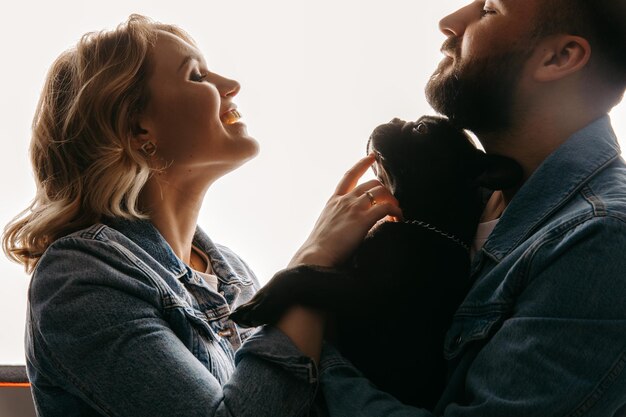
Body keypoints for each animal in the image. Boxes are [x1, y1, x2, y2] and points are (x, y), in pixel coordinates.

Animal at [232, 115, 520, 408]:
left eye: (421, 129)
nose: (395, 119)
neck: (429, 224)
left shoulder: (363, 293)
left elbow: (302, 272)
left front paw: (258, 304)